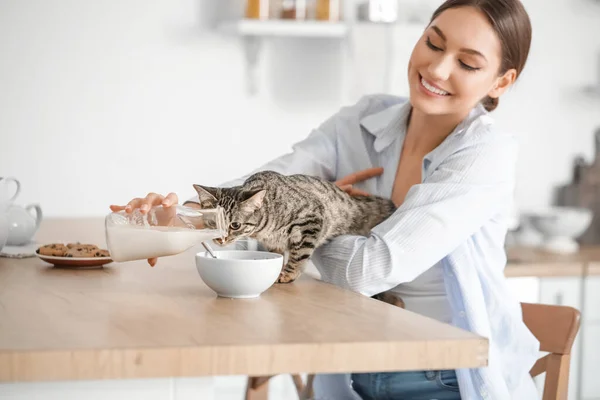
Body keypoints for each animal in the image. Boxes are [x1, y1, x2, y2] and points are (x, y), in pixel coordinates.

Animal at [195, 170, 396, 282]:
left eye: (235, 225)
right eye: (212, 223)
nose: (220, 240)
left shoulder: (312, 217)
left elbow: (299, 254)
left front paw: (288, 274)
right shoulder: (272, 242)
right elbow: (276, 255)